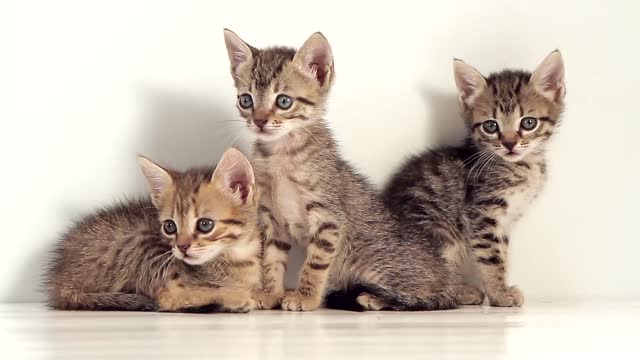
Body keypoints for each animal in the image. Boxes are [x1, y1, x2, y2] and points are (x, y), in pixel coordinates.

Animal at [45, 148, 262, 310]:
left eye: (205, 224)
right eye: (169, 226)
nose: (182, 247)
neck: (237, 255)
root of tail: (61, 281)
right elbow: (172, 295)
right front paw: (237, 297)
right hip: (141, 240)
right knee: (166, 299)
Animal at [221, 30, 460, 312]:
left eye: (283, 101)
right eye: (246, 100)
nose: (258, 121)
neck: (280, 155)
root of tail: (448, 278)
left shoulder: (328, 219)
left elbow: (314, 264)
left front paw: (305, 297)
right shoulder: (272, 220)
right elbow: (271, 258)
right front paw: (270, 293)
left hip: (373, 264)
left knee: (424, 296)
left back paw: (376, 298)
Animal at [382, 50, 564, 306]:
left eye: (529, 122)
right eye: (491, 126)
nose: (509, 144)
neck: (521, 166)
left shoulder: (504, 222)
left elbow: (502, 255)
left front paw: (501, 289)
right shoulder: (482, 212)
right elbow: (491, 257)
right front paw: (500, 295)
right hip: (439, 234)